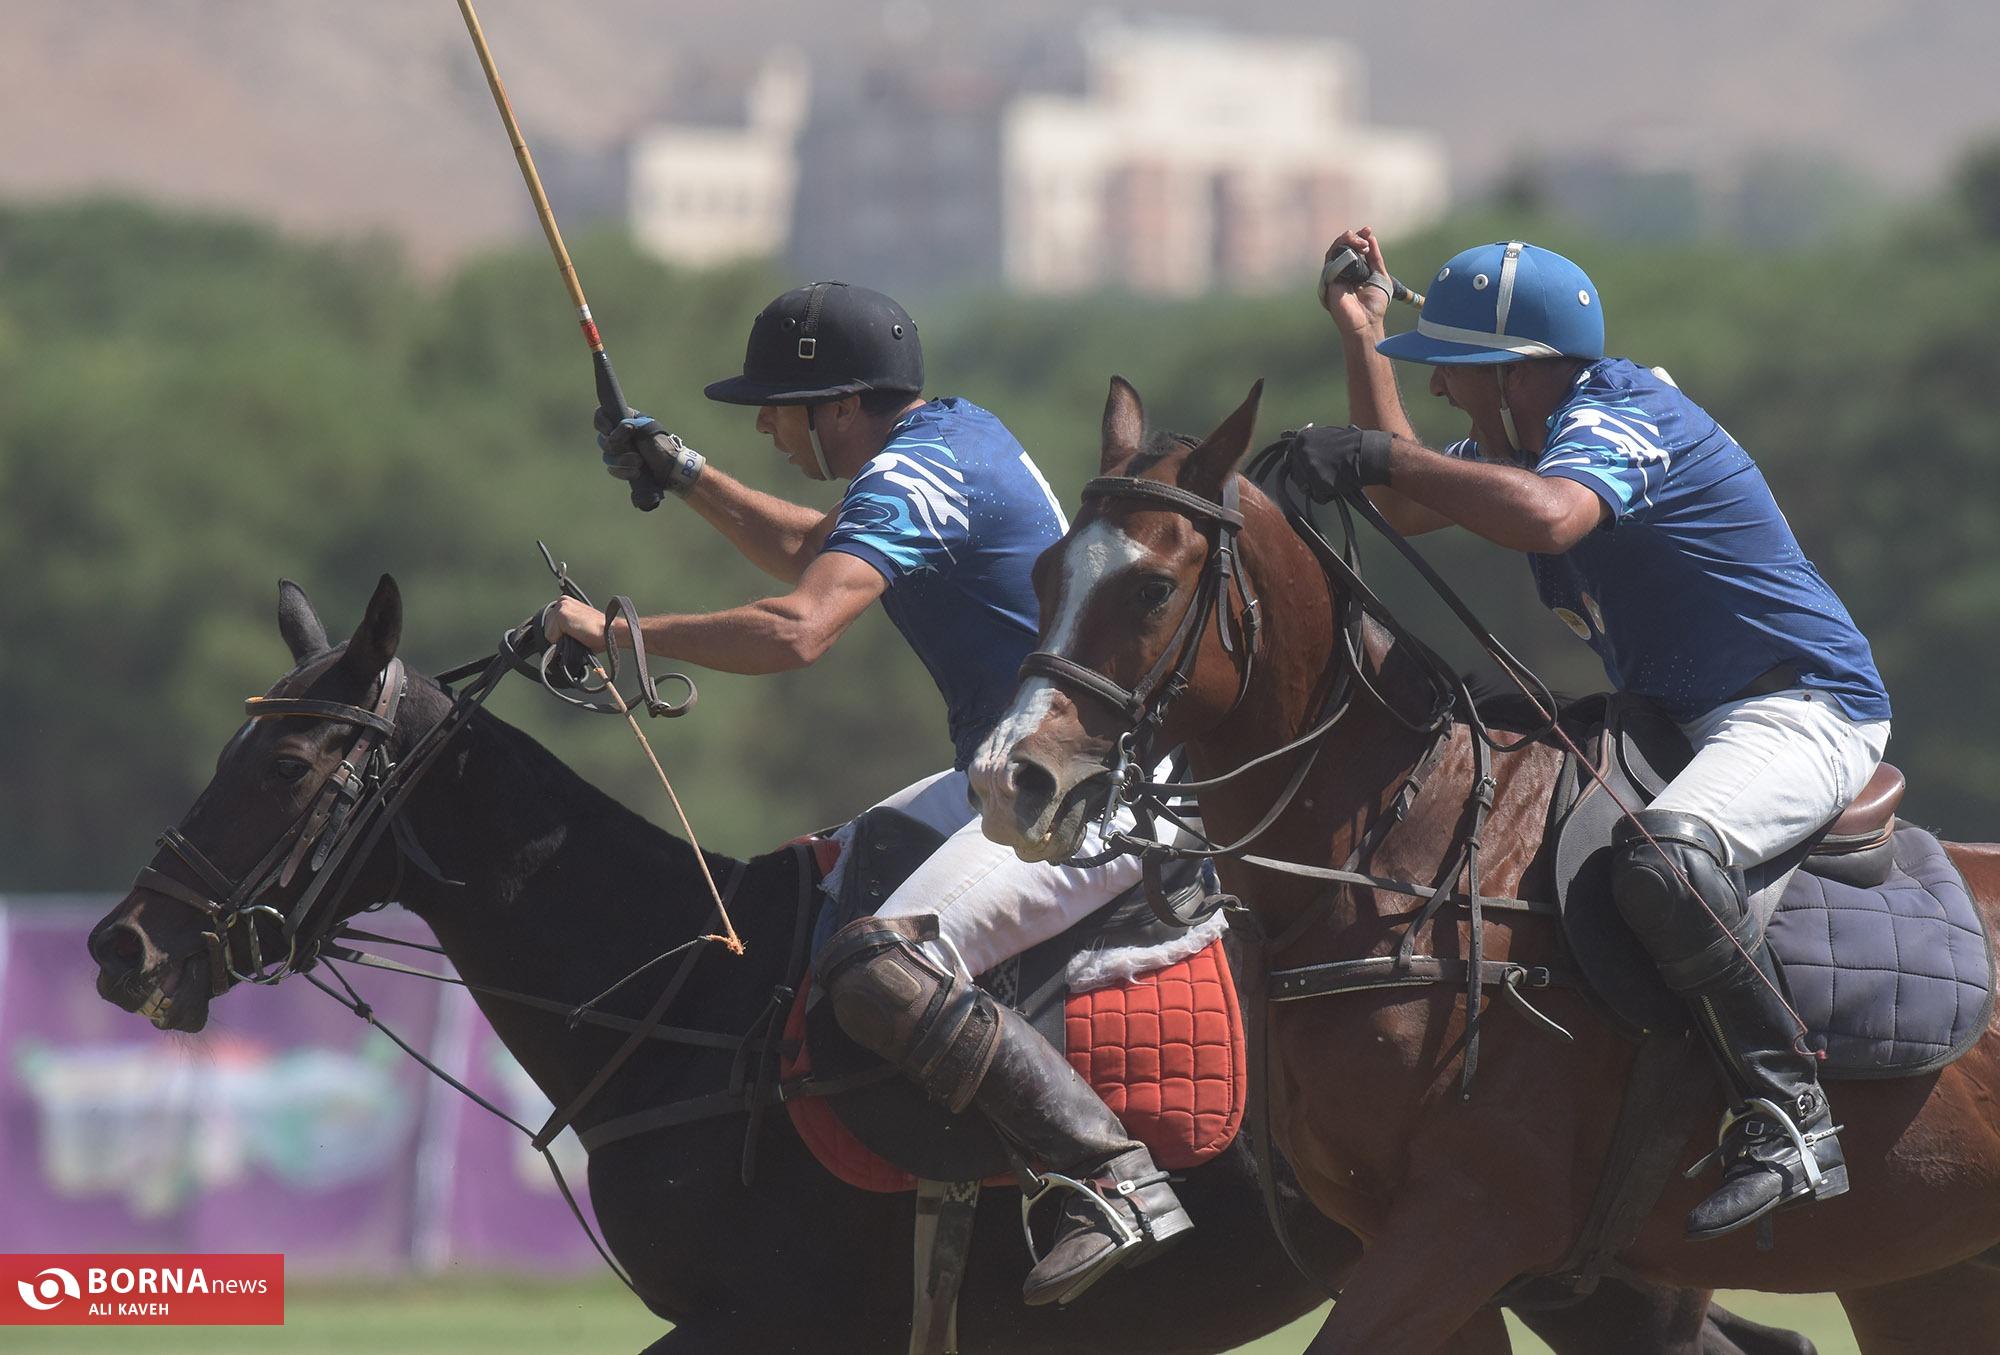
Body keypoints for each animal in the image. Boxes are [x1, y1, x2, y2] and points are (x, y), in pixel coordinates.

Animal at [968, 379, 2000, 1355]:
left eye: (1151, 586)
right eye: (1045, 571)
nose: (1009, 778)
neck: (1390, 865)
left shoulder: (1469, 1222)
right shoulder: (1413, 1242)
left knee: (1667, 871)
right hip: (1926, 1275)